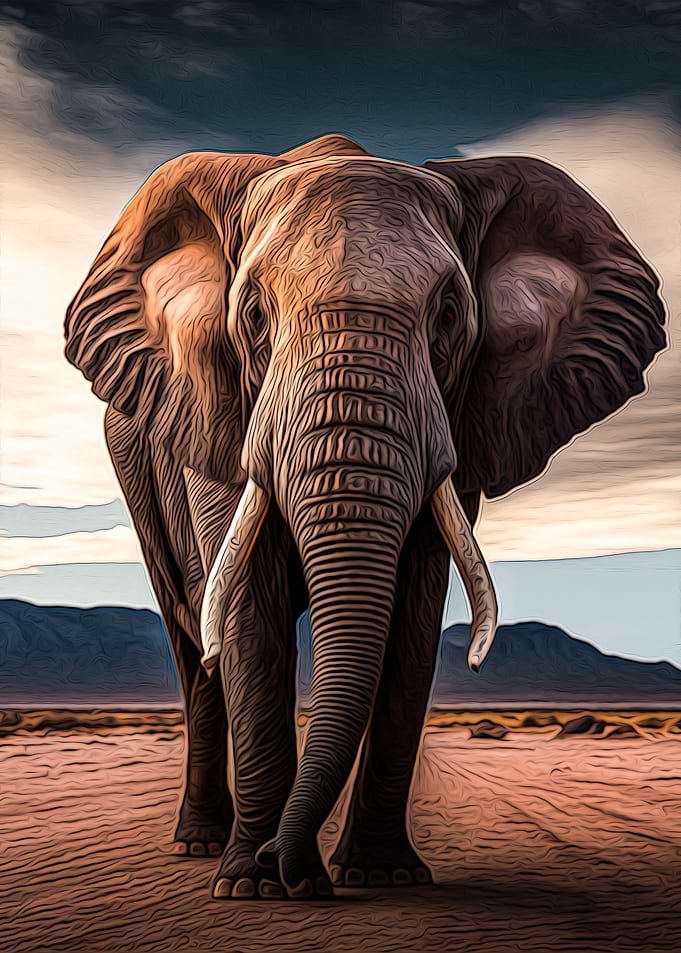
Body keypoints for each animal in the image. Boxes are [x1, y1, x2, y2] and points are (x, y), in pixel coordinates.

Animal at [64, 133, 665, 900]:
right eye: (251, 313)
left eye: (449, 313)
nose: (283, 864)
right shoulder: (212, 413)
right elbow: (246, 607)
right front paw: (256, 888)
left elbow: (415, 602)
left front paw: (382, 875)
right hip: (136, 469)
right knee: (192, 641)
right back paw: (200, 845)